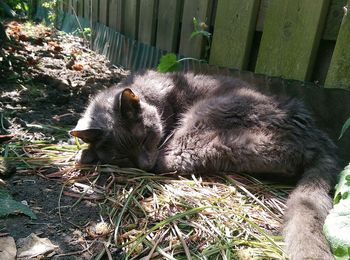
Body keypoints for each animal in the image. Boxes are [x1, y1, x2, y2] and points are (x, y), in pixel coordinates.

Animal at [70, 70, 340, 258]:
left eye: (145, 138)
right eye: (121, 157)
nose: (144, 165)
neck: (155, 98)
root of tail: (317, 137)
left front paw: (85, 154)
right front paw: (86, 152)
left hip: (206, 118)